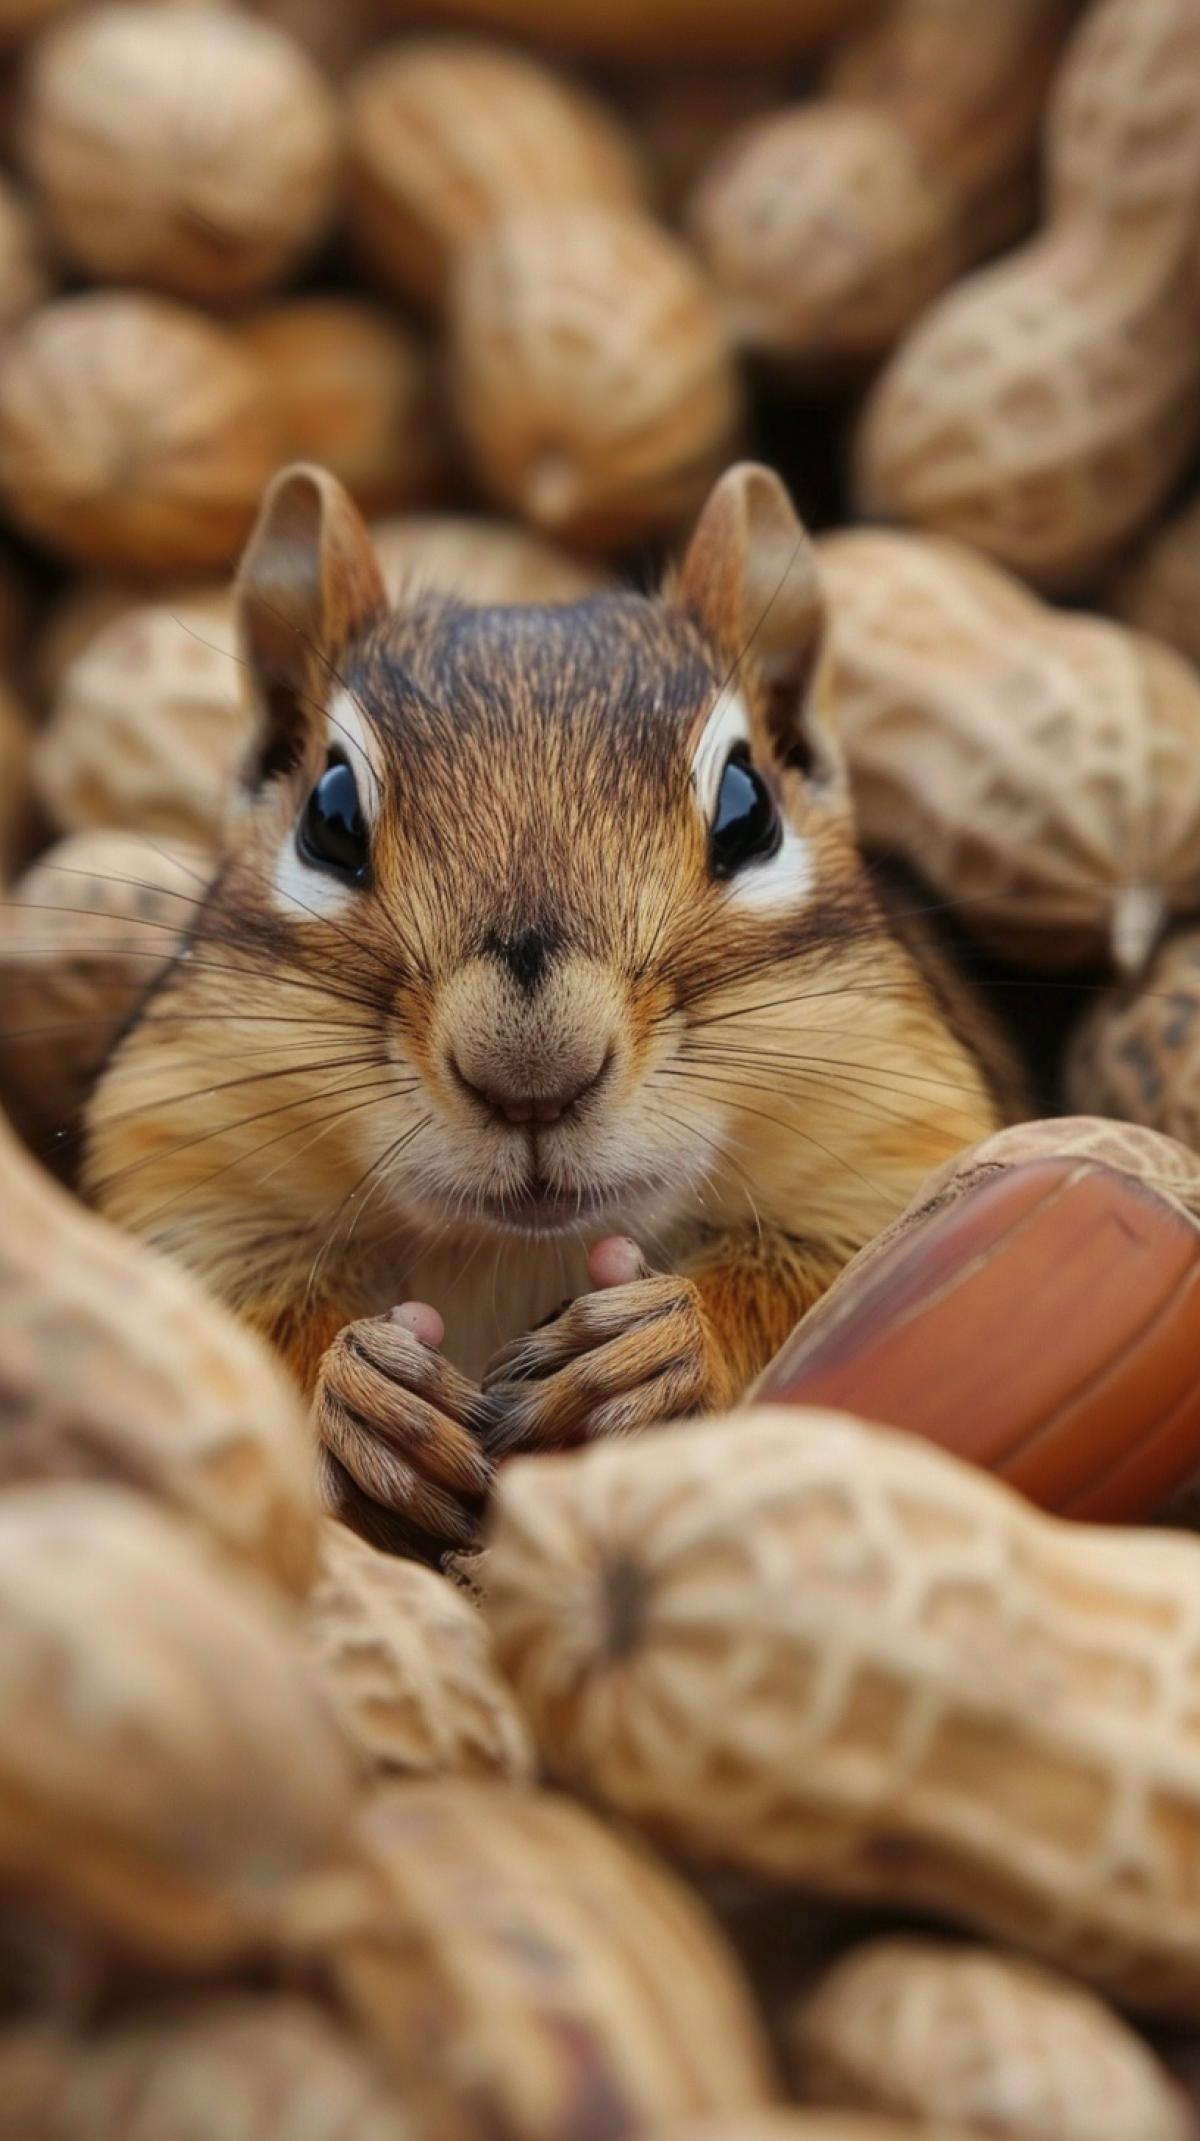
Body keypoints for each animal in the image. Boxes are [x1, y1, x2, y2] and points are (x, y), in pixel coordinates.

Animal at [84, 459, 1021, 1560]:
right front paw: (359, 1390)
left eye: (749, 809)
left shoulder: (901, 1142)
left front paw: (660, 1345)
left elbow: (820, 1289)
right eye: (329, 815)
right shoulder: (182, 1163)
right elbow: (227, 1318)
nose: (532, 1075)